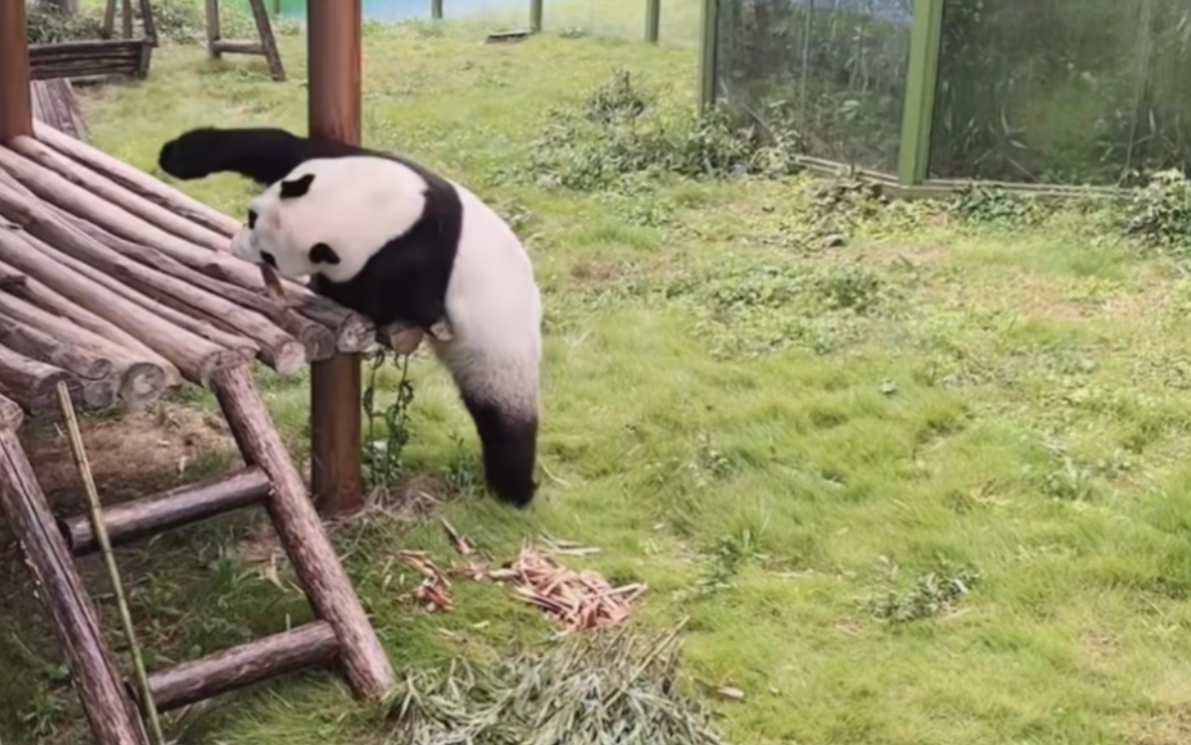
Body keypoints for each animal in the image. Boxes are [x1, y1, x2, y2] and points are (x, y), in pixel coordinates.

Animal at [158, 124, 545, 504]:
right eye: (252, 217)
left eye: (270, 256)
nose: (237, 247)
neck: (376, 211)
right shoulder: (370, 165)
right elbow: (276, 147)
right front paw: (177, 156)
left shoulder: (412, 254)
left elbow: (387, 297)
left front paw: (331, 288)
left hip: (495, 343)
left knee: (504, 416)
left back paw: (514, 488)